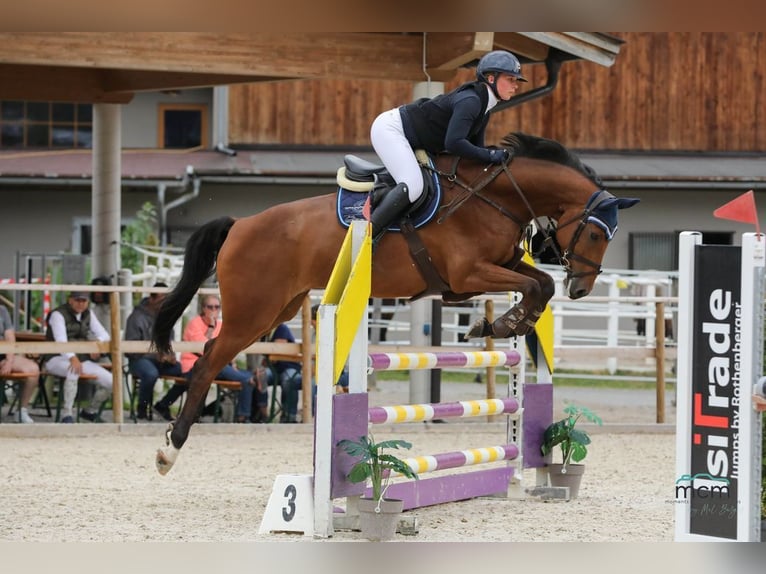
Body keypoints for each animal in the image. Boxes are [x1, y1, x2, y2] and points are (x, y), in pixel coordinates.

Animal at [152, 133, 640, 474]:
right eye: (595, 234)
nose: (582, 289)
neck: (494, 197)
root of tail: (240, 224)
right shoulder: (468, 274)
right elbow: (537, 286)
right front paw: (502, 325)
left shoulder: (491, 269)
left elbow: (540, 283)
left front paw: (502, 325)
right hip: (252, 311)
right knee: (207, 363)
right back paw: (169, 450)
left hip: (279, 309)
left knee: (212, 356)